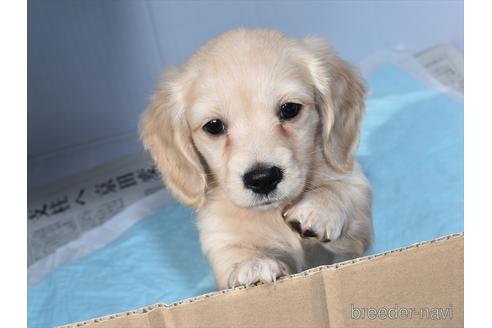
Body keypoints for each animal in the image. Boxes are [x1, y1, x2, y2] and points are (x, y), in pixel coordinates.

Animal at [141, 28, 372, 290]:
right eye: (214, 126)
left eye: (290, 109)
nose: (263, 179)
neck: (271, 213)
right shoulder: (219, 236)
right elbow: (236, 253)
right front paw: (253, 266)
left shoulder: (357, 230)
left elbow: (341, 191)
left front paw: (317, 208)